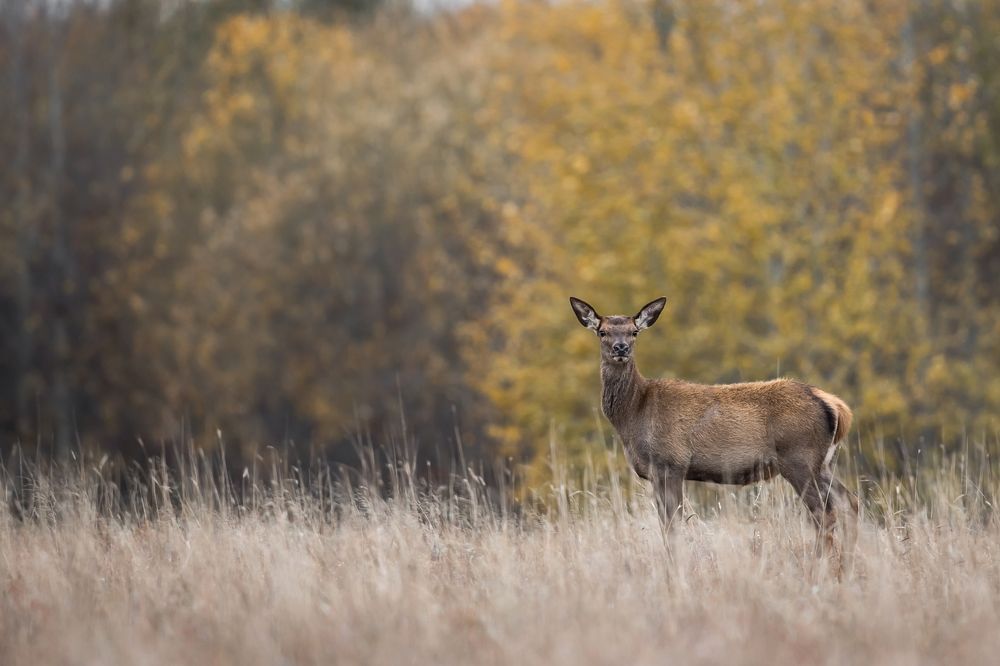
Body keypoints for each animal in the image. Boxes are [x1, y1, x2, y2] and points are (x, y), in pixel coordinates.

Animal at [570, 296, 859, 559]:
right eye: (603, 331)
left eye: (634, 331)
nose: (620, 348)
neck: (634, 413)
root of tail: (836, 406)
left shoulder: (670, 463)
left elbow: (672, 526)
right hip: (823, 463)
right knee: (849, 503)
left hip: (799, 458)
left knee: (824, 513)